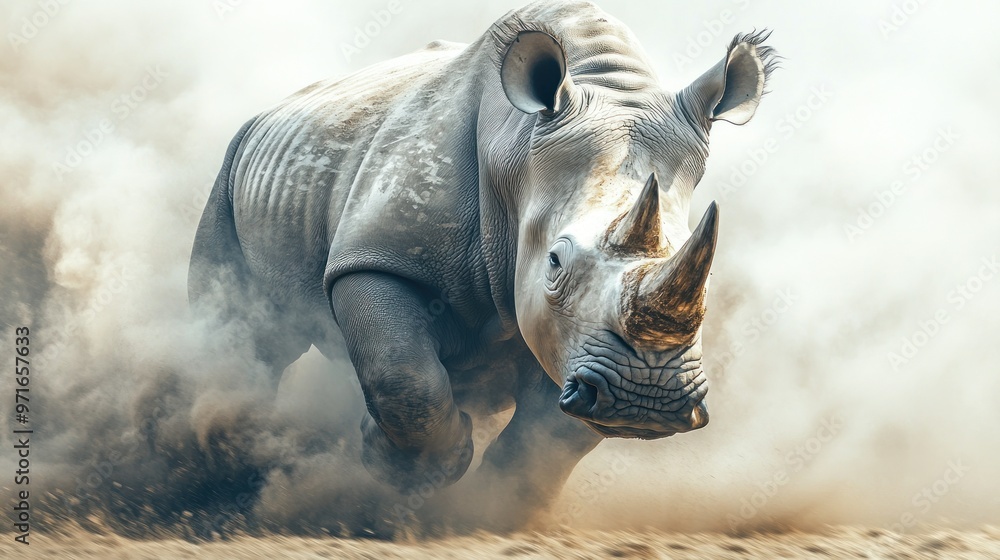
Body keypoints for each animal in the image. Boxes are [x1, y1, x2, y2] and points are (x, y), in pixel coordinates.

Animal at [189, 0, 776, 525]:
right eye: (555, 262)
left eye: (707, 272)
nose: (645, 399)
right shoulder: (375, 257)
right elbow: (406, 378)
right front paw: (399, 469)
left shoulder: (575, 344)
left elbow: (551, 434)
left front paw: (496, 507)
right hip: (233, 164)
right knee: (245, 329)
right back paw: (228, 463)